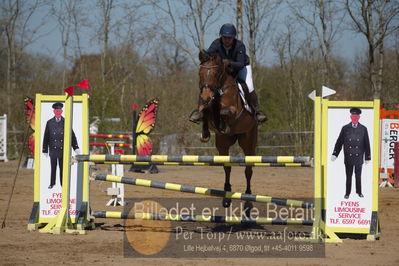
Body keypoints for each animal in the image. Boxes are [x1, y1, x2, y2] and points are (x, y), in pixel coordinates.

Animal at [198, 50, 260, 212]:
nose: (206, 97)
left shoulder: (233, 112)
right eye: (200, 73)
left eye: (215, 74)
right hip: (223, 144)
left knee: (248, 171)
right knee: (227, 168)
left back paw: (248, 202)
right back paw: (226, 197)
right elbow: (204, 112)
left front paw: (223, 123)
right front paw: (205, 133)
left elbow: (225, 112)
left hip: (248, 142)